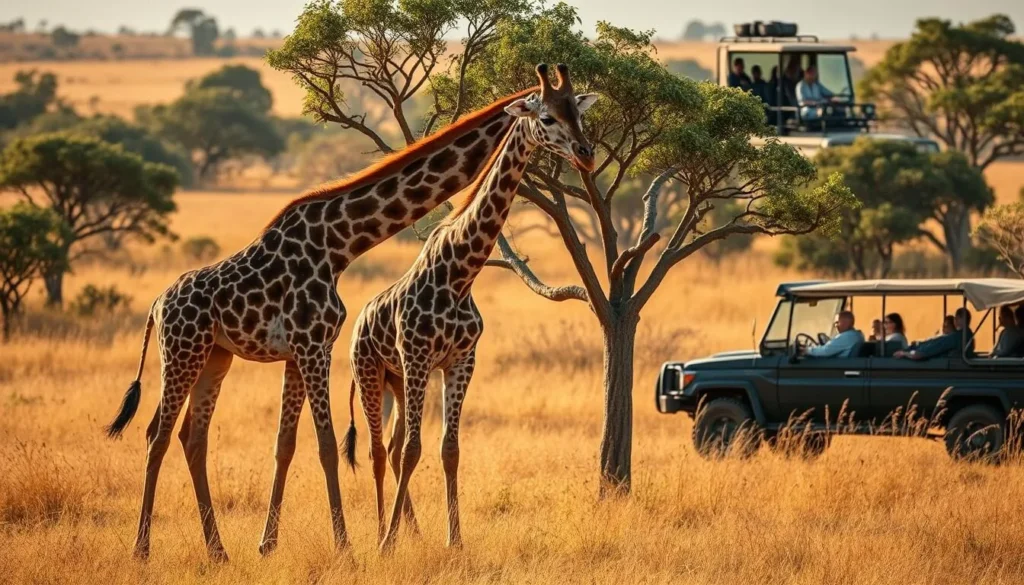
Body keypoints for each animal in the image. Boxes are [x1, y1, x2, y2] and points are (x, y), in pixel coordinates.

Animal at [102, 86, 539, 562]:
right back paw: (141, 549)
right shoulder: (314, 345)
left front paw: (269, 544)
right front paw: (344, 546)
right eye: (552, 116)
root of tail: (156, 305)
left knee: (191, 437)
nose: (577, 147)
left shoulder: (302, 351)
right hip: (181, 353)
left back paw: (218, 551)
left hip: (215, 357)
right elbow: (327, 445)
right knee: (156, 435)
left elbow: (286, 443)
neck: (337, 242)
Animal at [344, 64, 598, 551]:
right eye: (547, 117)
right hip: (371, 371)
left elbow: (449, 449)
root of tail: (359, 320)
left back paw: (411, 531)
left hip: (398, 380)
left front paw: (454, 541)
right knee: (378, 449)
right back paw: (383, 533)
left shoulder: (461, 360)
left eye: (578, 113)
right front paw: (388, 545)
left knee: (393, 443)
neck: (461, 273)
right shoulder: (419, 356)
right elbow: (414, 450)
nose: (586, 153)